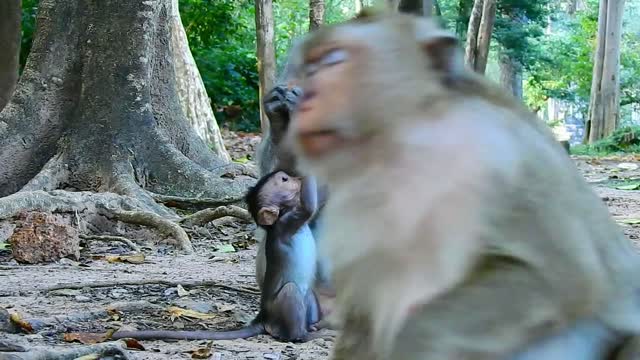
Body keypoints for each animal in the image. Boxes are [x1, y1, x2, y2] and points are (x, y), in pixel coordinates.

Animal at [111, 170, 324, 342]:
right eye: (284, 179)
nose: (296, 178)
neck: (278, 220)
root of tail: (263, 317)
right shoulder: (289, 222)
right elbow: (309, 207)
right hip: (281, 307)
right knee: (290, 294)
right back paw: (303, 335)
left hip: (307, 297)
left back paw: (314, 325)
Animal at [288, 8, 640, 360]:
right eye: (310, 68)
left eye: (334, 60)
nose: (305, 98)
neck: (400, 145)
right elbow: (362, 320)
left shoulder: (502, 154)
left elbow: (562, 278)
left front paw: (412, 341)